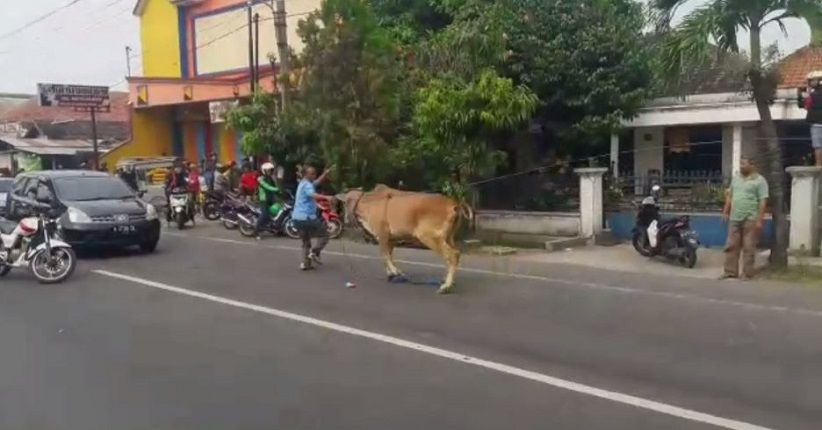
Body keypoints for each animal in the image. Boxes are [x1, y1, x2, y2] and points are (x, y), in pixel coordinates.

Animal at [338, 183, 474, 294]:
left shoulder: (382, 234)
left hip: (429, 236)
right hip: (449, 237)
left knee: (452, 255)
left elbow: (384, 255)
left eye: (343, 204)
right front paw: (391, 274)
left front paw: (395, 272)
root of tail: (454, 204)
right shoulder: (391, 240)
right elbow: (389, 256)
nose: (343, 219)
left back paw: (446, 286)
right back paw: (446, 280)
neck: (368, 204)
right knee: (455, 254)